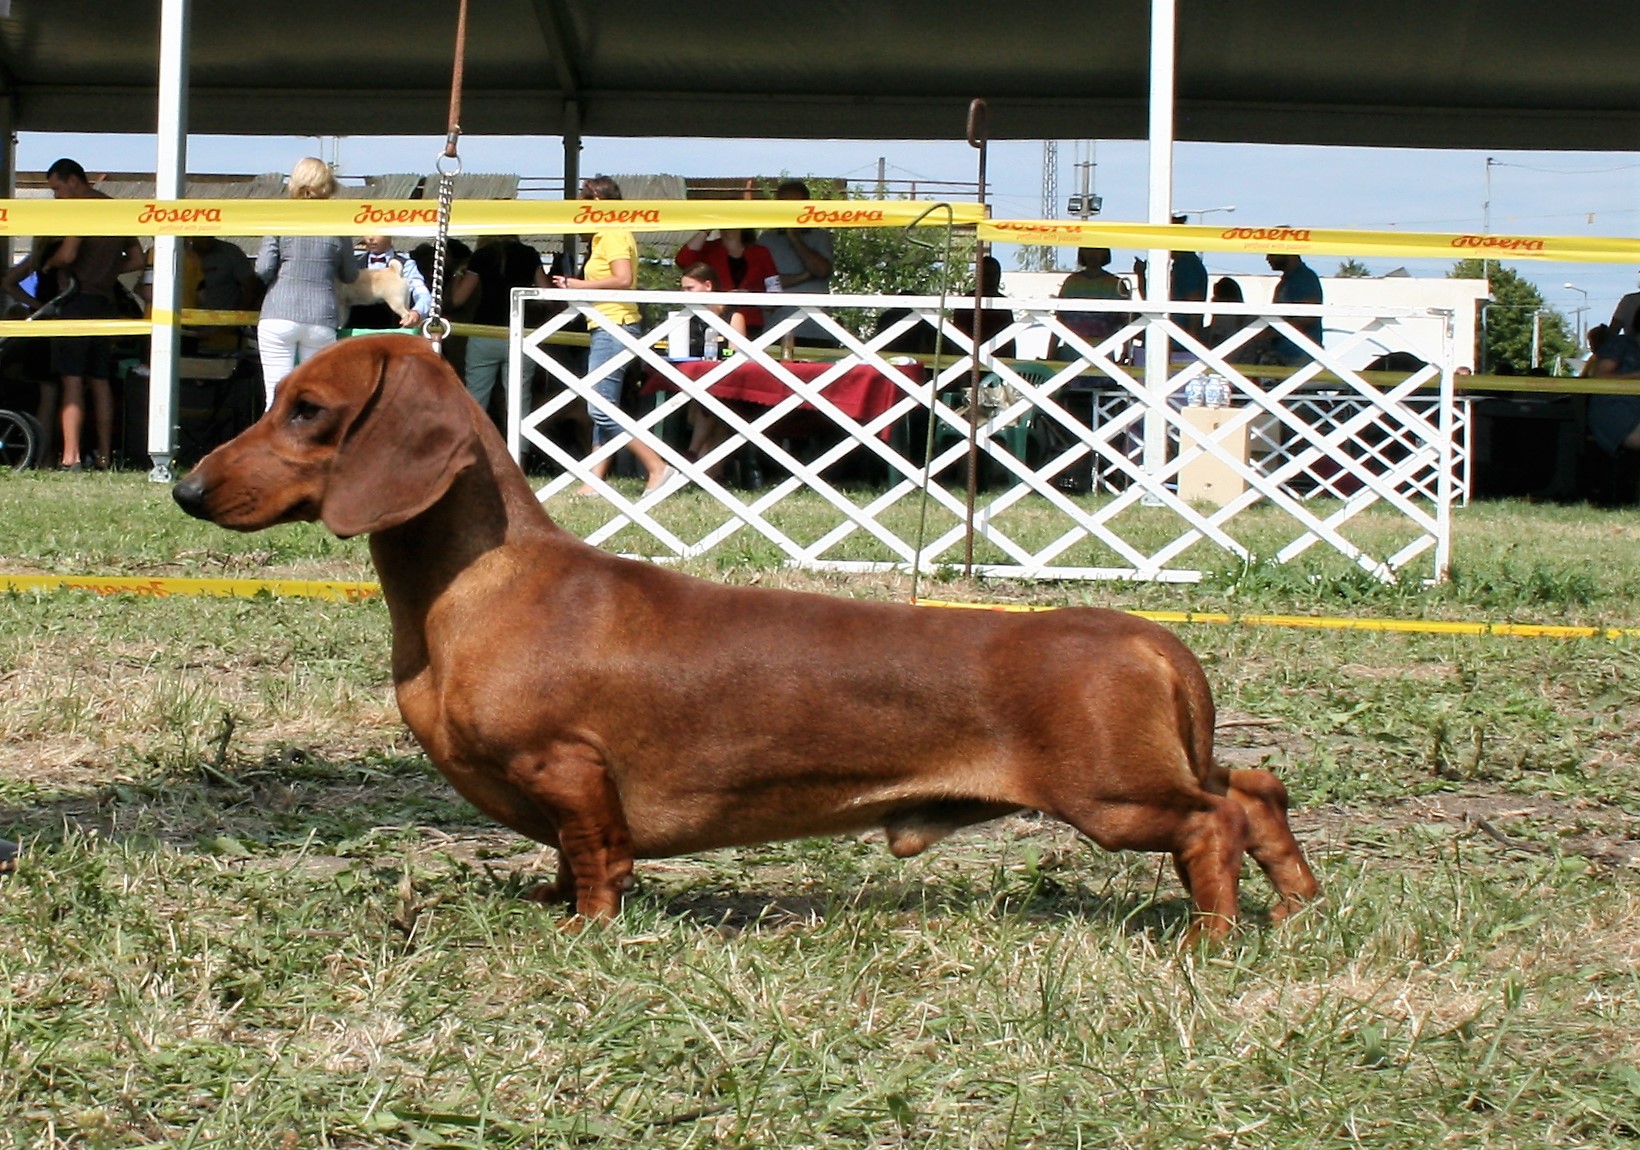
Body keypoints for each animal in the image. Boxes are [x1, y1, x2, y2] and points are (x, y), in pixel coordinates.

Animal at [173, 336, 1318, 942]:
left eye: (307, 409)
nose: (184, 489)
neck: (478, 588)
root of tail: (1147, 637)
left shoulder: (568, 769)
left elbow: (595, 856)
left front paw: (585, 928)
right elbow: (561, 861)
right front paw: (550, 905)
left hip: (1114, 797)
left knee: (1212, 821)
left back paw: (1211, 933)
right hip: (1157, 772)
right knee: (1253, 787)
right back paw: (1297, 901)